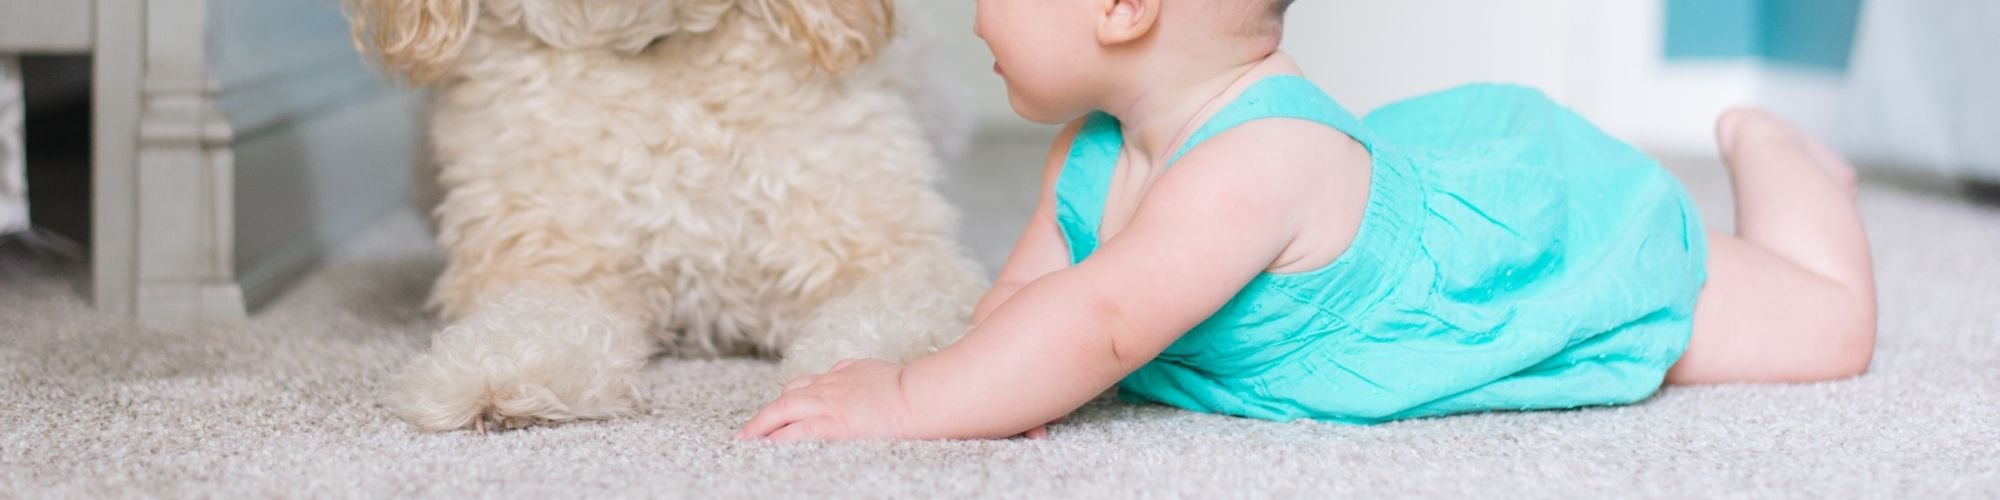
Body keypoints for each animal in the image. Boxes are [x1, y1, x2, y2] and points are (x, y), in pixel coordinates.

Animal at [354, 0, 1000, 432]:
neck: (651, 48)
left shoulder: (890, 250)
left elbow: (897, 315)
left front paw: (880, 378)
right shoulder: (546, 262)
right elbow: (533, 318)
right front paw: (502, 371)